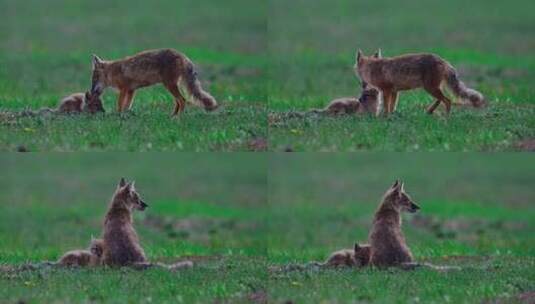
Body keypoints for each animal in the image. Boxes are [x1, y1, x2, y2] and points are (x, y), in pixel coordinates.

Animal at [90, 48, 218, 115]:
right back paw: (172, 117)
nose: (91, 91)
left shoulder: (124, 89)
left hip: (170, 86)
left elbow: (120, 105)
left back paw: (177, 119)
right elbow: (127, 106)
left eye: (94, 79)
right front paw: (125, 116)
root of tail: (183, 56)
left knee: (183, 100)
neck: (113, 71)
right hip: (171, 87)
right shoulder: (131, 90)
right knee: (178, 102)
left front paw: (118, 116)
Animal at [354, 49, 488, 114]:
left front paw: (384, 118)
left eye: (359, 74)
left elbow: (387, 107)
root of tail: (442, 60)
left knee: (448, 101)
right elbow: (392, 107)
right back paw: (429, 111)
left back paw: (446, 119)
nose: (362, 85)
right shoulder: (395, 91)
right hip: (432, 89)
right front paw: (391, 118)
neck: (372, 67)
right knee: (441, 100)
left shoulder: (387, 90)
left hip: (430, 88)